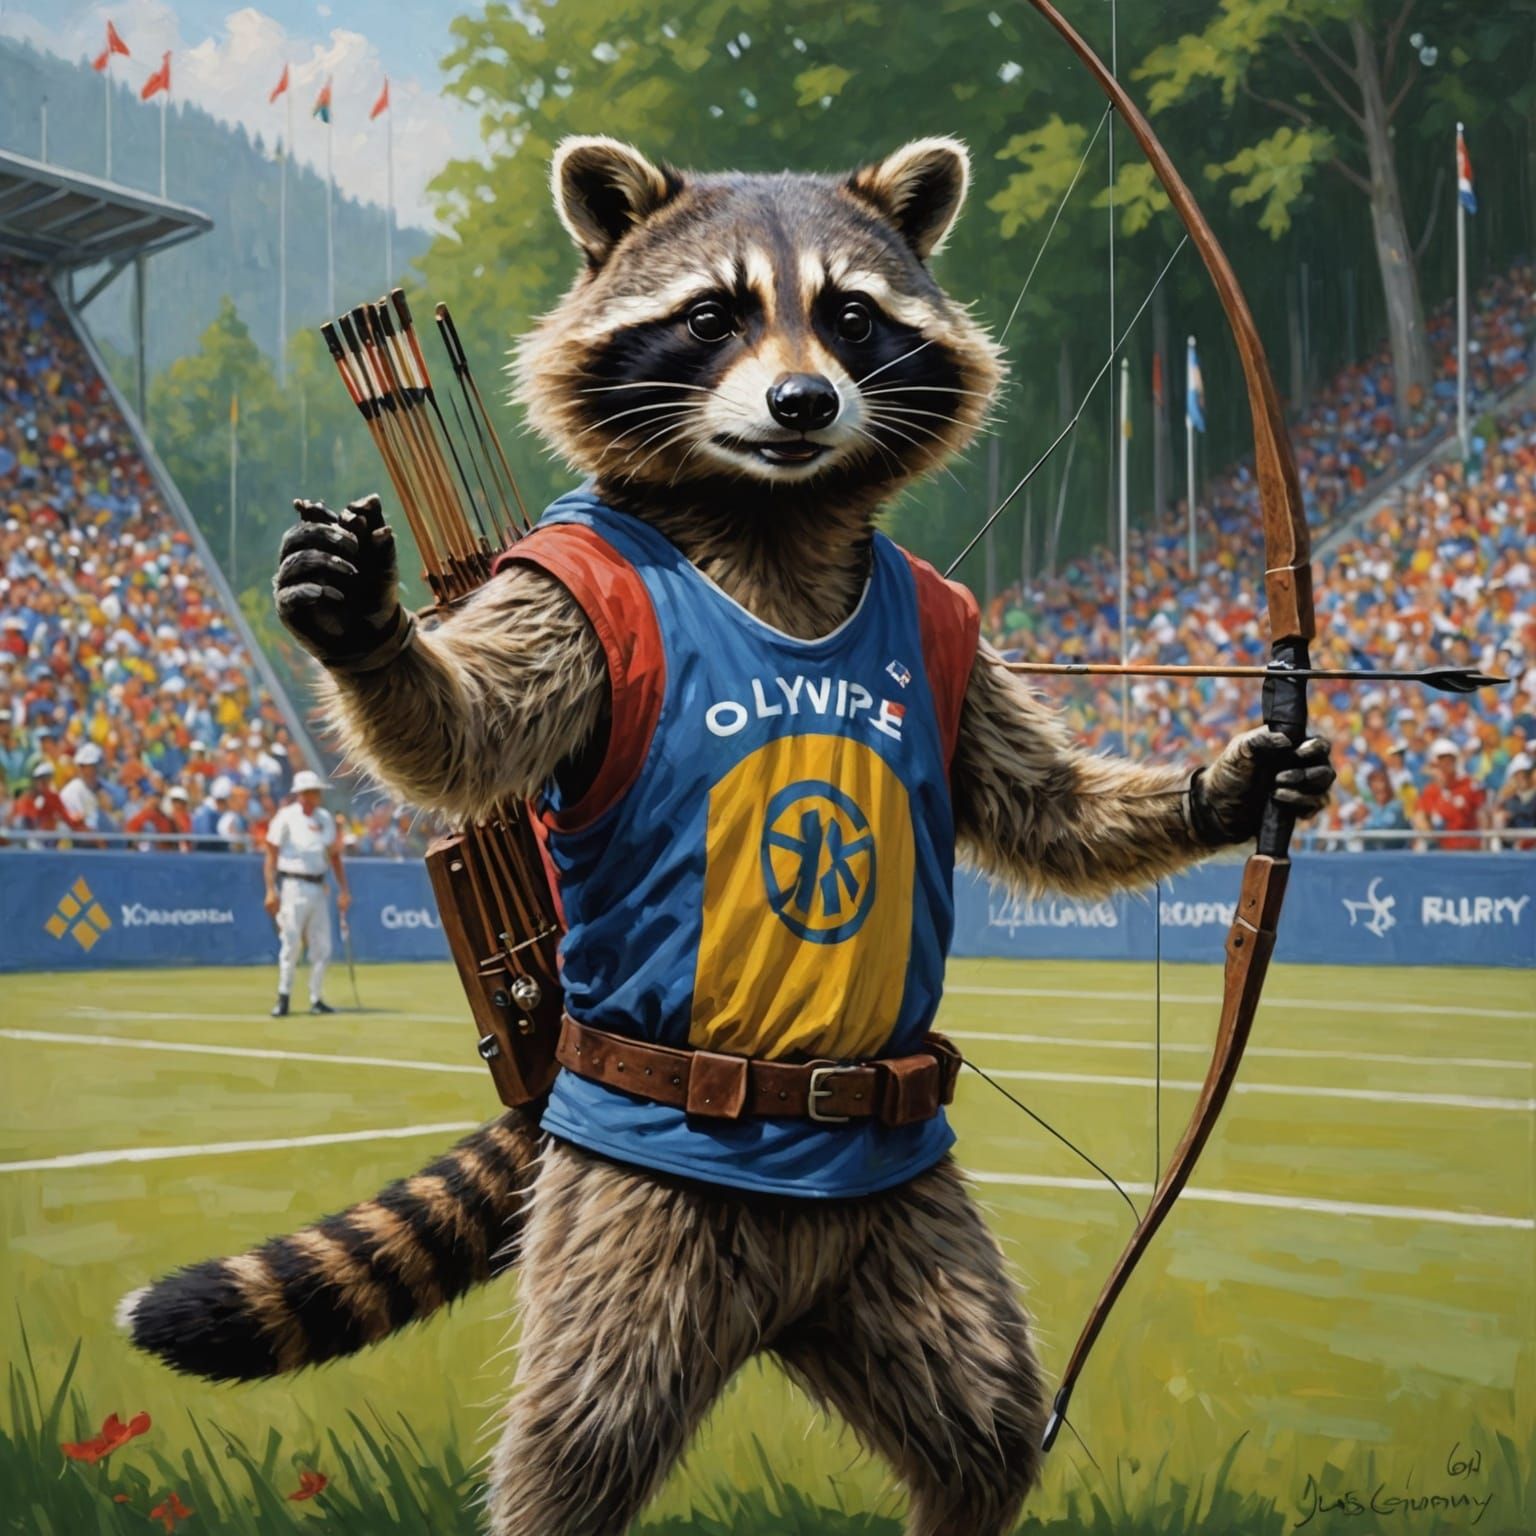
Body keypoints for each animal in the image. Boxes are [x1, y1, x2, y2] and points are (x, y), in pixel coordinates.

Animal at [120, 137, 1331, 1536]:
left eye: (853, 317)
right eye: (711, 317)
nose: (803, 404)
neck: (771, 523)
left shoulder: (945, 628)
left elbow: (1038, 807)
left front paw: (1233, 784)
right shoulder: (561, 603)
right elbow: (468, 736)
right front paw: (372, 638)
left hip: (898, 1247)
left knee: (980, 1424)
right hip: (636, 1227)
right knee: (586, 1432)